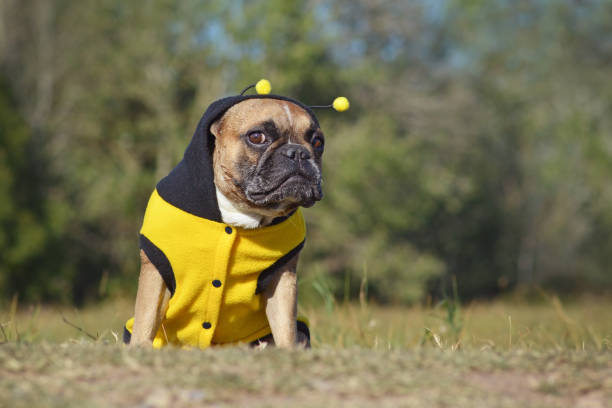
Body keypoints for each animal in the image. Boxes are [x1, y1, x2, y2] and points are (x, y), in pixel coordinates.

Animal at [123, 91, 326, 350]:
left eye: (318, 142)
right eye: (257, 137)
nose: (299, 152)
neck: (240, 212)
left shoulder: (282, 279)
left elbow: (285, 328)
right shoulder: (155, 272)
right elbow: (146, 320)